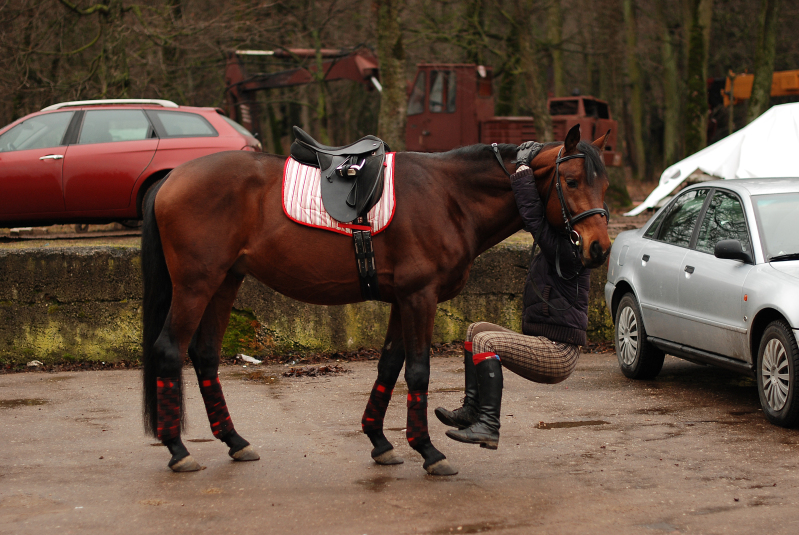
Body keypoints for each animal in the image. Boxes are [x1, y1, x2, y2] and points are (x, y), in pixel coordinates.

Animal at [140, 123, 611, 475]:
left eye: (604, 183)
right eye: (571, 181)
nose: (599, 248)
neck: (450, 196)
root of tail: (172, 176)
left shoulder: (403, 299)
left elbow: (389, 365)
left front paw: (380, 440)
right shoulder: (420, 297)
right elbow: (417, 371)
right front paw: (428, 451)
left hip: (225, 282)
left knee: (204, 355)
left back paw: (233, 440)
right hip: (196, 284)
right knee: (169, 350)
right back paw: (177, 449)